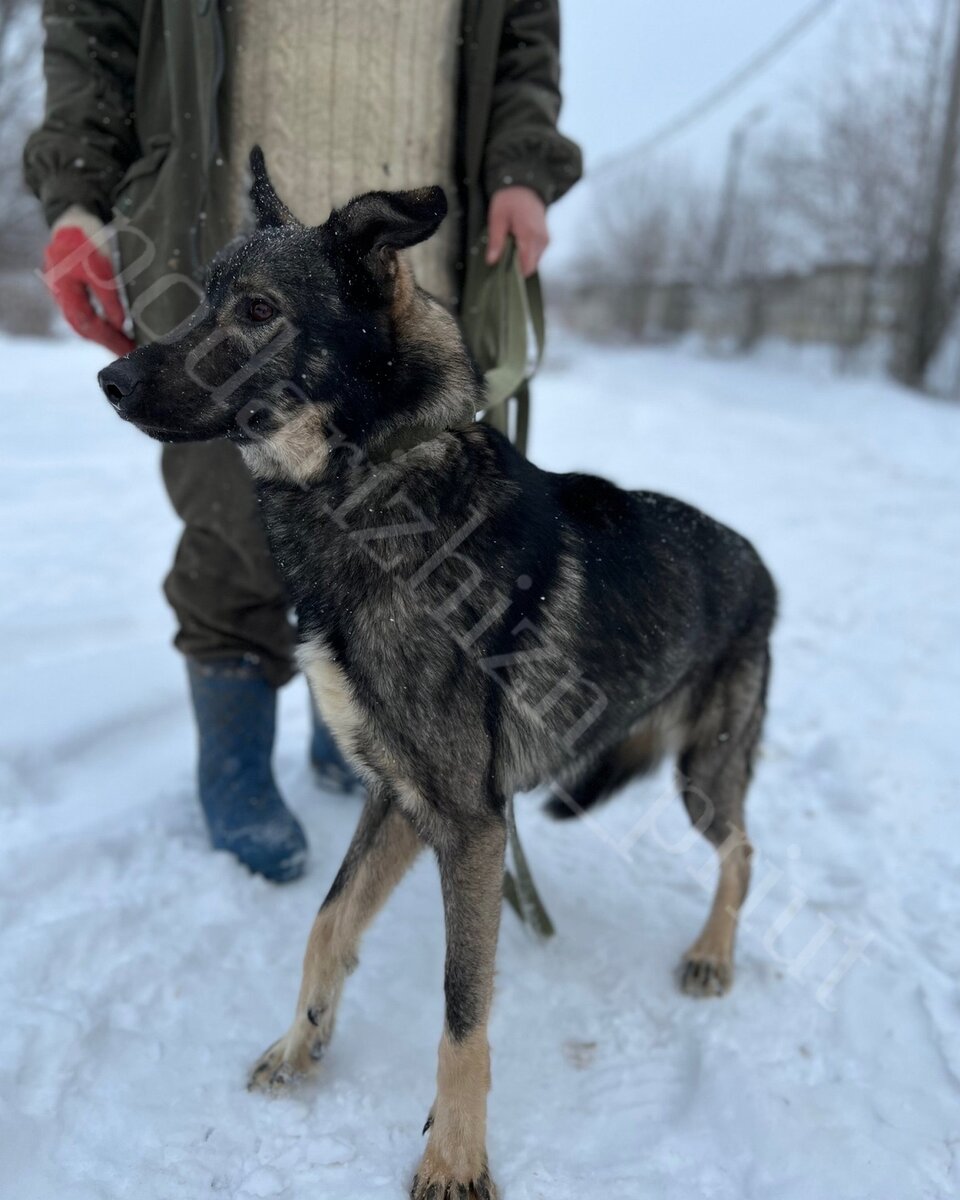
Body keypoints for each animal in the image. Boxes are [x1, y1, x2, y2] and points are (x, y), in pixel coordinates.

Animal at [97, 150, 777, 1200]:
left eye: (256, 310)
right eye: (203, 298)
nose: (110, 377)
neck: (370, 485)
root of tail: (756, 559)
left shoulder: (469, 825)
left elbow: (463, 1011)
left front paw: (454, 1159)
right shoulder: (399, 799)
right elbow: (328, 924)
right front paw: (301, 1046)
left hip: (706, 770)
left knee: (742, 850)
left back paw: (710, 954)